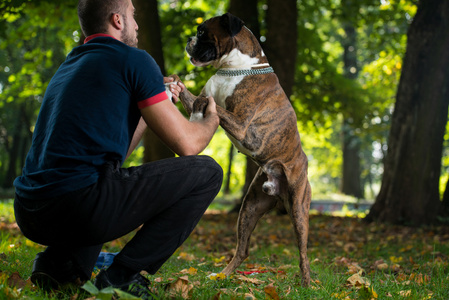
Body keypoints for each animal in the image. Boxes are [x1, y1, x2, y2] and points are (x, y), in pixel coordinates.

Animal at [172, 12, 312, 288]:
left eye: (202, 32)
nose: (189, 38)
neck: (231, 69)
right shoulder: (200, 102)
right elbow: (195, 96)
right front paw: (172, 83)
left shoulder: (242, 126)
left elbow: (211, 104)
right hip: (250, 208)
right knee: (243, 250)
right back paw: (221, 275)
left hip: (299, 210)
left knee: (303, 253)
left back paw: (308, 283)